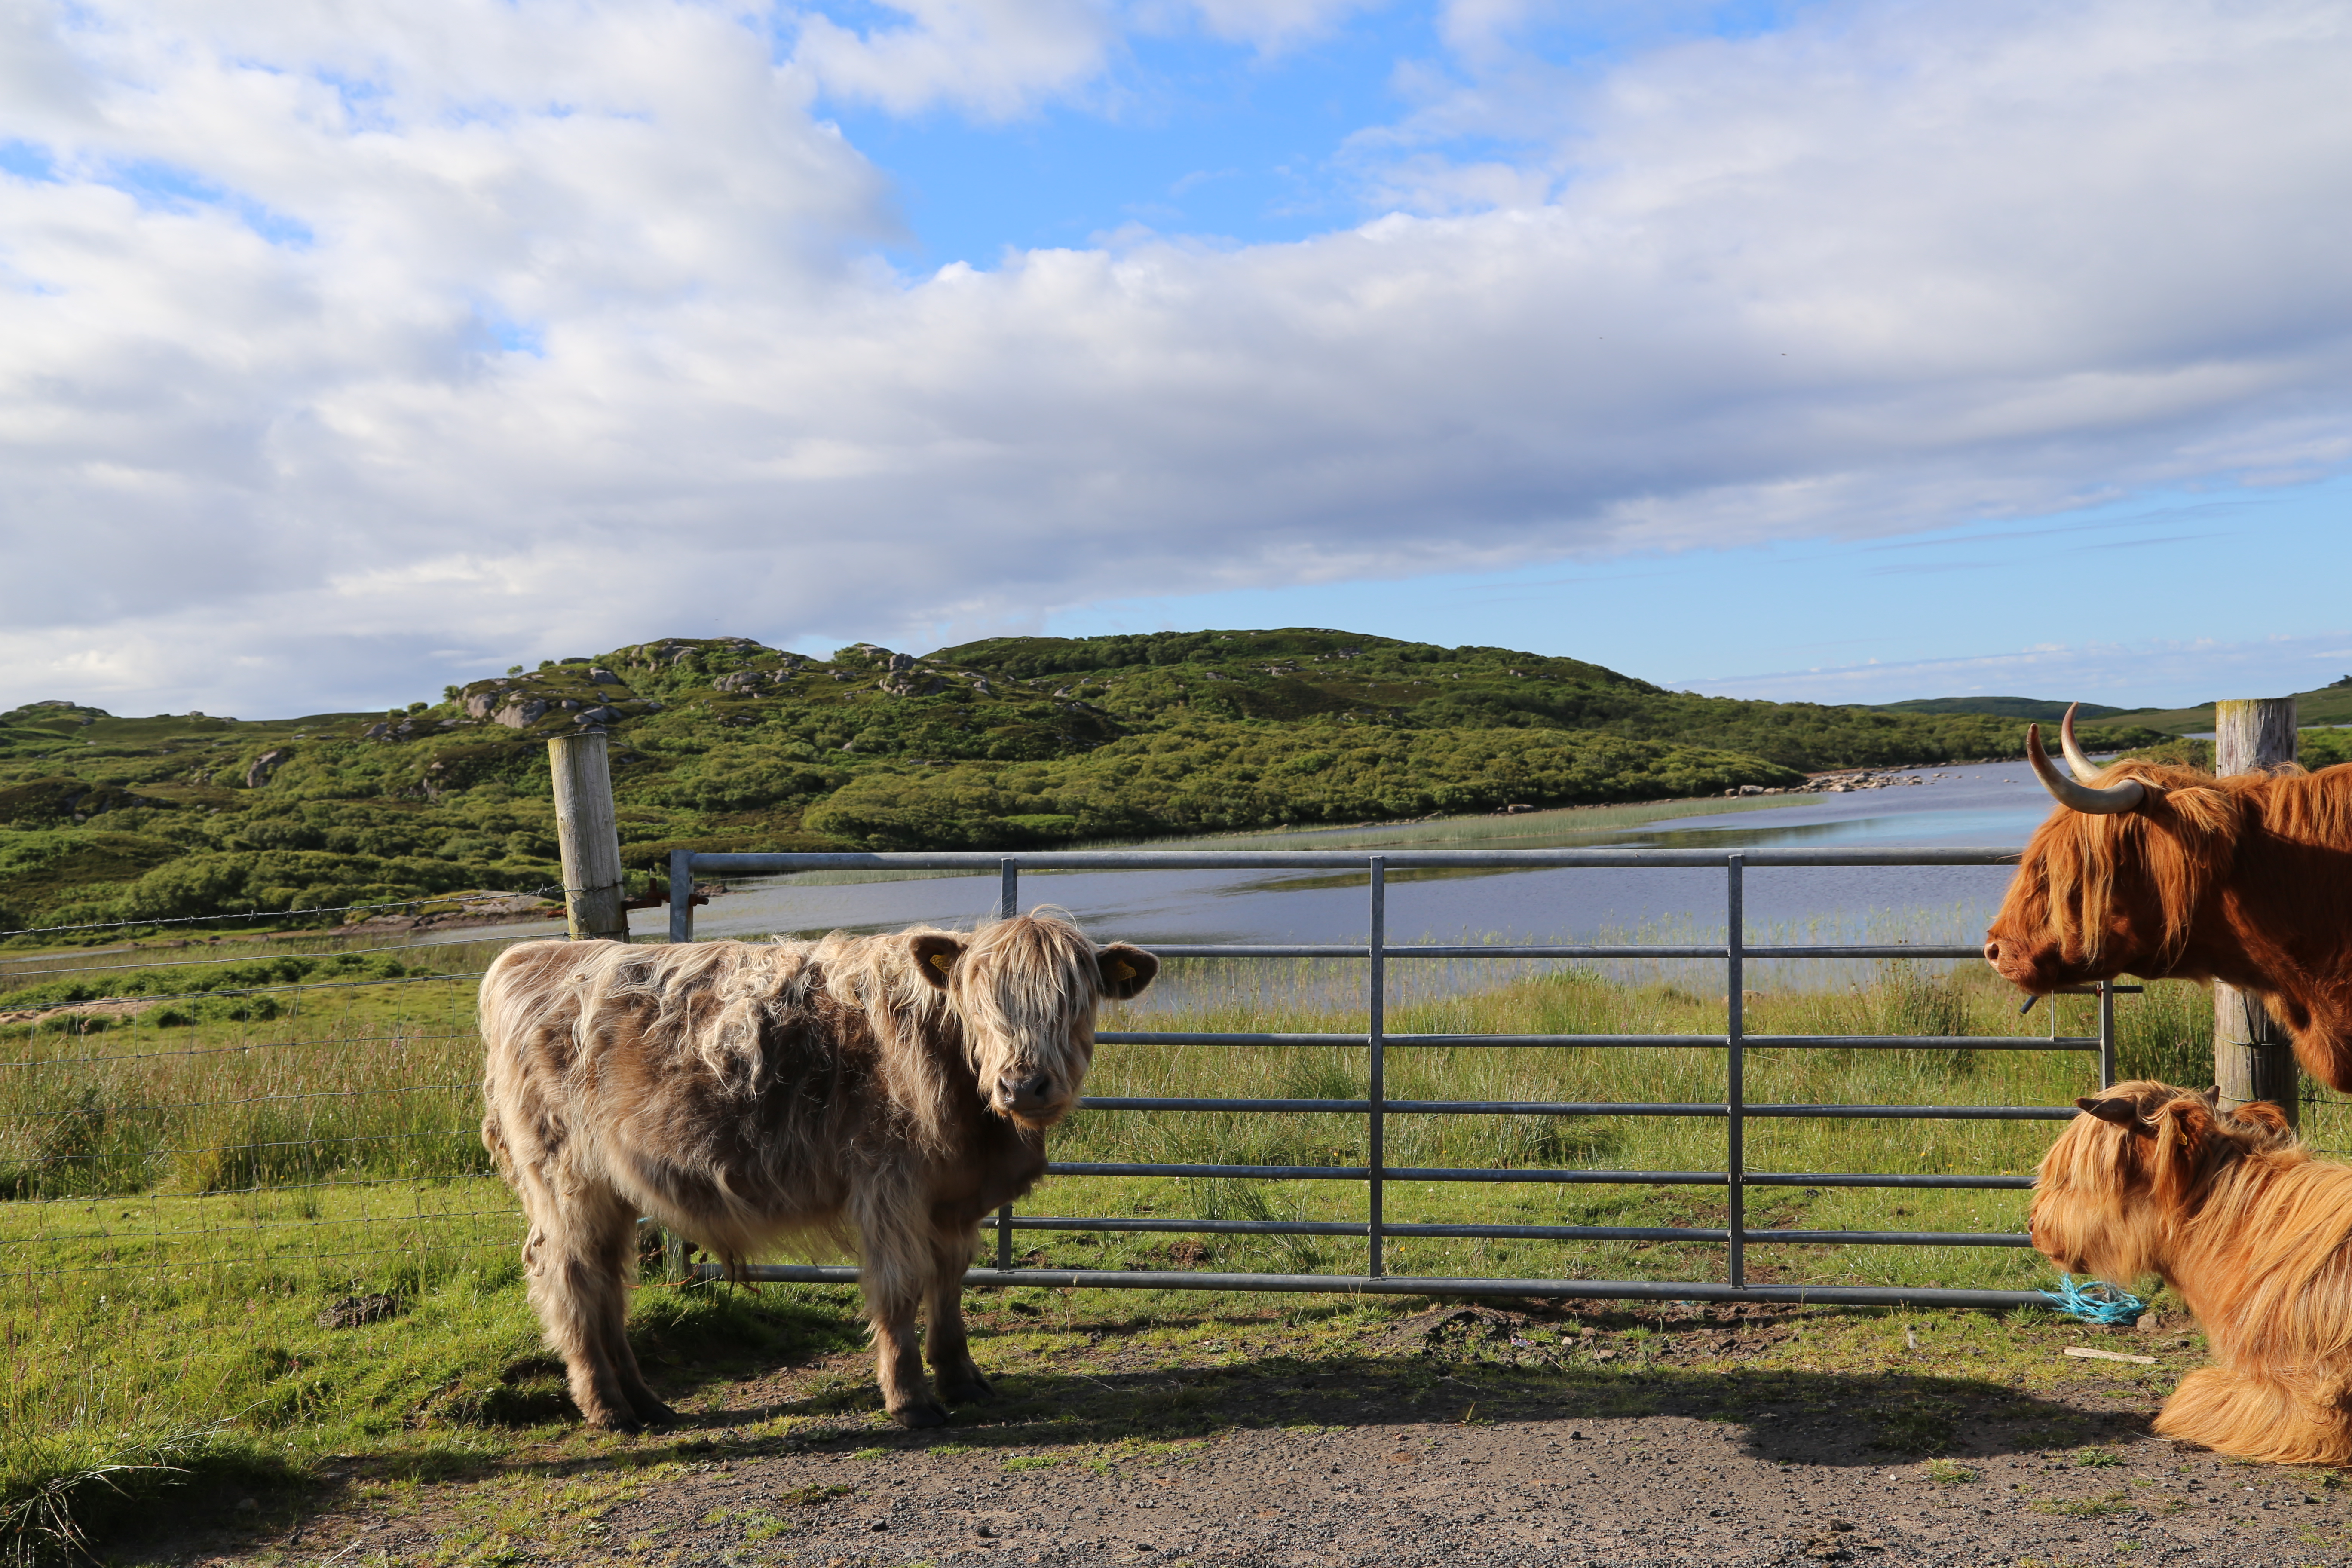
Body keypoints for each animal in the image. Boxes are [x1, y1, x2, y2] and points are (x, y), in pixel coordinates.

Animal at [475, 907, 1157, 1439]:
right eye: (979, 1002)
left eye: (1075, 1003)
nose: (1023, 1085)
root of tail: (530, 956)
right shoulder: (889, 1186)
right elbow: (900, 1288)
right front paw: (911, 1401)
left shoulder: (951, 1198)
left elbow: (949, 1283)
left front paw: (962, 1378)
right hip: (566, 1180)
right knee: (571, 1276)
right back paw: (608, 1408)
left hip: (611, 1189)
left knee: (607, 1282)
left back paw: (646, 1403)